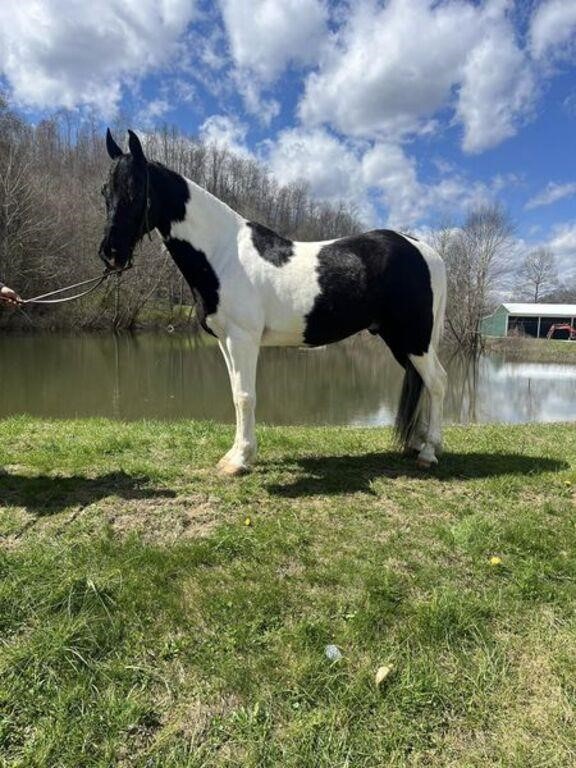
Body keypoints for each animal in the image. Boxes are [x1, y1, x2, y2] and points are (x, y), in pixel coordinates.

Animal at [99, 130, 448, 474]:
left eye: (135, 190)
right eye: (105, 191)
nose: (110, 252)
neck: (224, 254)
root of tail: (424, 250)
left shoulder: (243, 339)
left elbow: (245, 396)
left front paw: (239, 461)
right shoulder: (226, 340)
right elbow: (236, 394)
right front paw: (235, 454)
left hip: (415, 339)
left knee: (437, 383)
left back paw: (429, 452)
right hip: (399, 340)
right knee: (424, 381)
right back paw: (417, 444)